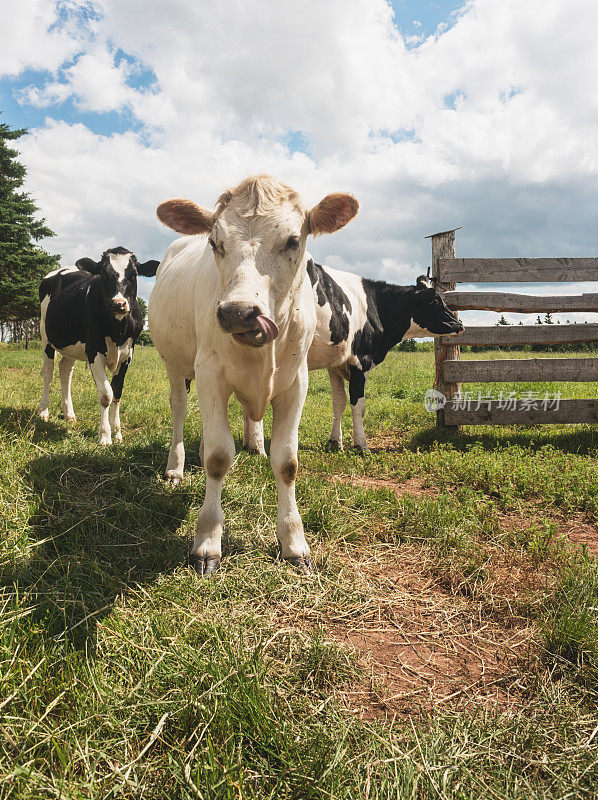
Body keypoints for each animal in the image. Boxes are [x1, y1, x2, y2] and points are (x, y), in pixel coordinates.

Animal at [37, 247, 159, 444]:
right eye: (103, 274)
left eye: (133, 274)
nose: (118, 304)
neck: (117, 331)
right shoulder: (94, 351)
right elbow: (105, 395)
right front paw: (105, 436)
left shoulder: (127, 356)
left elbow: (117, 393)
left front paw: (117, 433)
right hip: (46, 336)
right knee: (48, 372)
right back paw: (43, 412)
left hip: (72, 345)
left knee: (65, 371)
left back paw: (69, 414)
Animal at [149, 176, 358, 576]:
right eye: (215, 242)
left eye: (293, 241)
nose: (238, 312)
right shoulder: (209, 373)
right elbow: (218, 458)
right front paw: (207, 541)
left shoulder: (297, 383)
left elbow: (287, 462)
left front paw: (294, 542)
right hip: (175, 365)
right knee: (180, 411)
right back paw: (176, 467)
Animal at [244, 260, 464, 454]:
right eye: (435, 300)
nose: (459, 324)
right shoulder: (360, 361)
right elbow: (358, 404)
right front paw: (361, 445)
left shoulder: (335, 364)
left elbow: (339, 401)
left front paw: (335, 442)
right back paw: (258, 448)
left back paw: (248, 444)